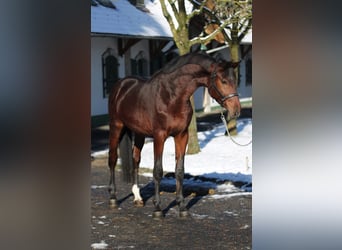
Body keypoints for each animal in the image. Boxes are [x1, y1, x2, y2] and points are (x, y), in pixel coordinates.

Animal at [108, 52, 239, 217]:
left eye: (235, 80)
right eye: (223, 81)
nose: (236, 110)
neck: (172, 95)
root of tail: (120, 86)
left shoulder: (182, 136)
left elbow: (179, 171)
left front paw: (182, 207)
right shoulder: (159, 136)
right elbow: (158, 170)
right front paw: (158, 209)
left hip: (139, 133)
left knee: (135, 159)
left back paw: (137, 197)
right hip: (116, 127)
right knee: (112, 159)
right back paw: (113, 198)